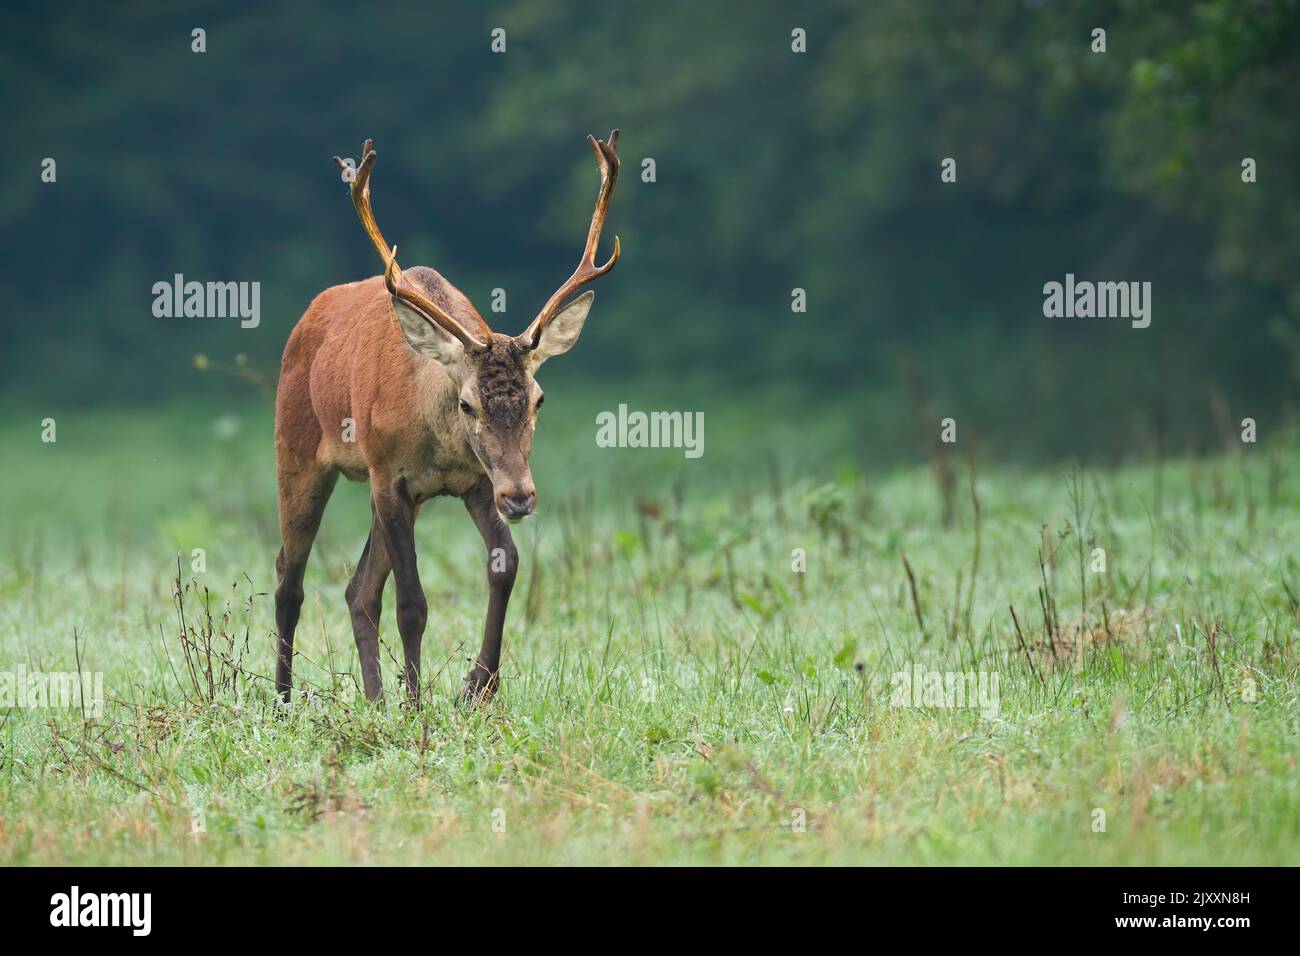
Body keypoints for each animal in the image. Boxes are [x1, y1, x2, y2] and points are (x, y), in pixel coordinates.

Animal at [272, 130, 620, 706]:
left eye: (539, 398)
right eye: (467, 404)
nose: (521, 497)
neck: (436, 443)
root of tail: (301, 324)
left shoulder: (476, 482)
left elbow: (506, 566)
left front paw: (478, 685)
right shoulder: (389, 475)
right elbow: (413, 603)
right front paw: (418, 705)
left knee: (358, 589)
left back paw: (373, 700)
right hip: (297, 451)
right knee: (288, 577)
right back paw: (282, 702)